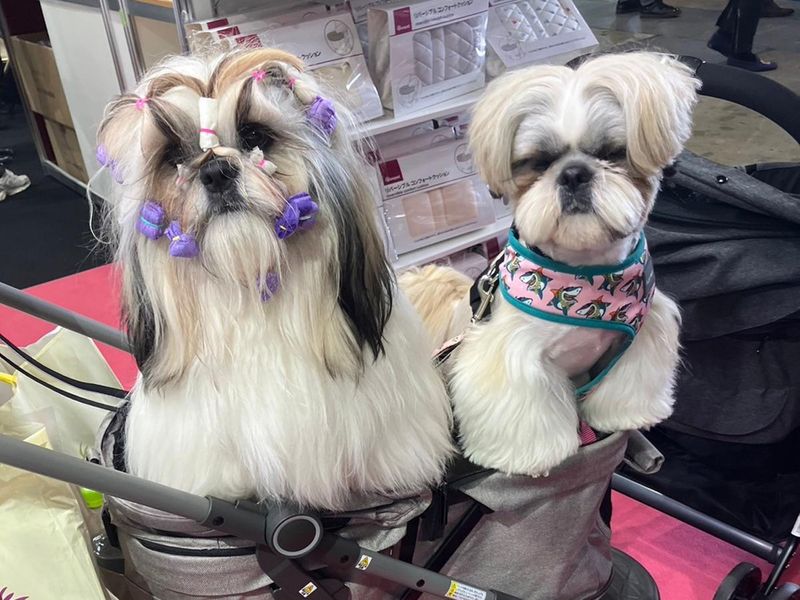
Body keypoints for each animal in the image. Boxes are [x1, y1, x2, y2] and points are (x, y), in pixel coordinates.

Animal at [402, 53, 699, 477]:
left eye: (612, 153)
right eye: (538, 163)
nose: (574, 174)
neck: (586, 274)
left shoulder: (640, 337)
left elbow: (627, 387)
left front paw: (625, 418)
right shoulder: (512, 354)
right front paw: (532, 458)